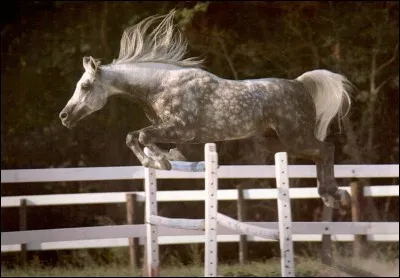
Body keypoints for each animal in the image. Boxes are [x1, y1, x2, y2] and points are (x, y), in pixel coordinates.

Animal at [59, 9, 354, 208]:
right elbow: (134, 137)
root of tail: (300, 84)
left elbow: (141, 136)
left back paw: (335, 195)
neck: (161, 85)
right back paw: (332, 196)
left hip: (295, 137)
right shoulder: (167, 128)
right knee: (320, 153)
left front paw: (162, 160)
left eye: (85, 86)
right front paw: (161, 159)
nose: (64, 116)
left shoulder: (181, 130)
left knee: (326, 149)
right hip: (279, 142)